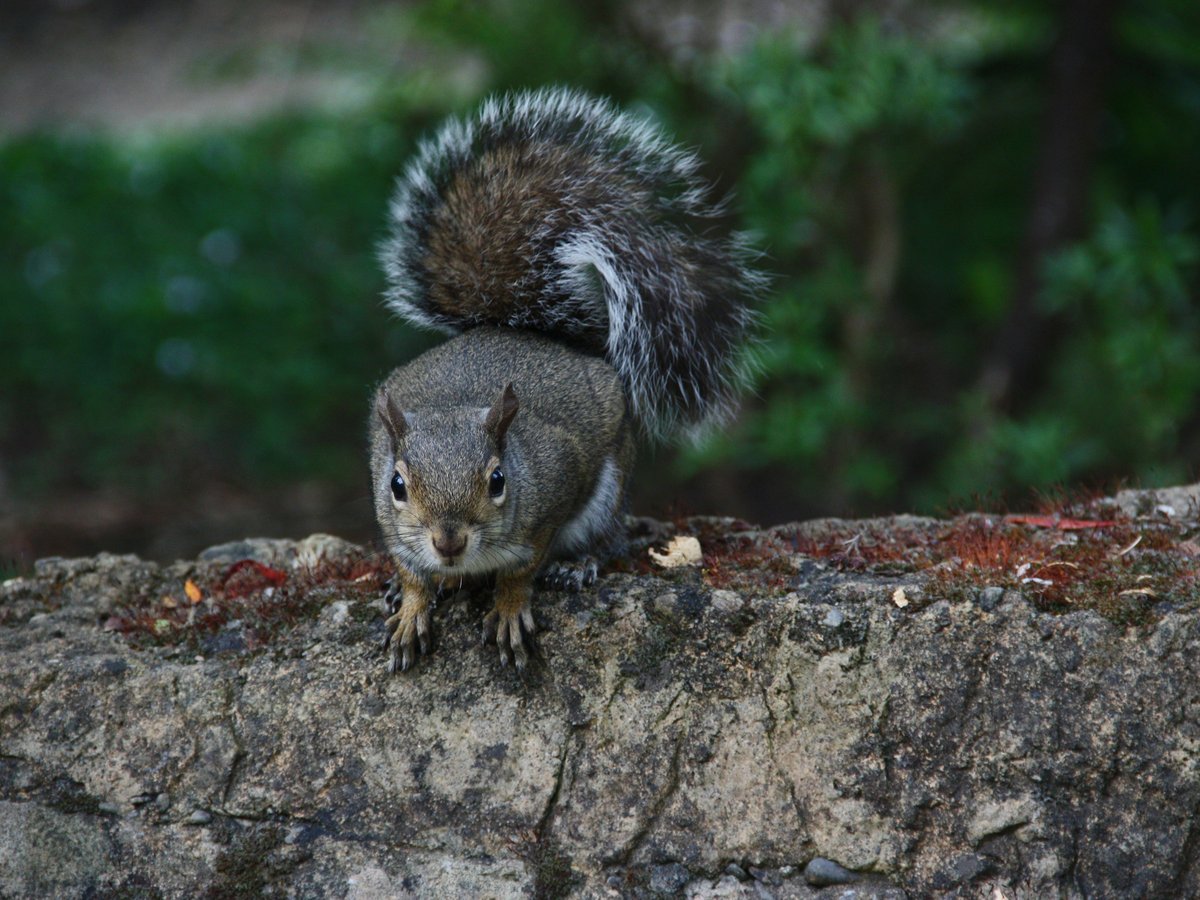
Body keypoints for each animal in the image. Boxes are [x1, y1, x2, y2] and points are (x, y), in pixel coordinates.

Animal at [369, 87, 760, 673]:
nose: (448, 544)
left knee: (608, 535)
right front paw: (412, 602)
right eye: (397, 485)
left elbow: (521, 567)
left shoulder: (556, 485)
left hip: (609, 486)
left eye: (498, 480)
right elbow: (410, 567)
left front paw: (511, 606)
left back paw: (579, 564)